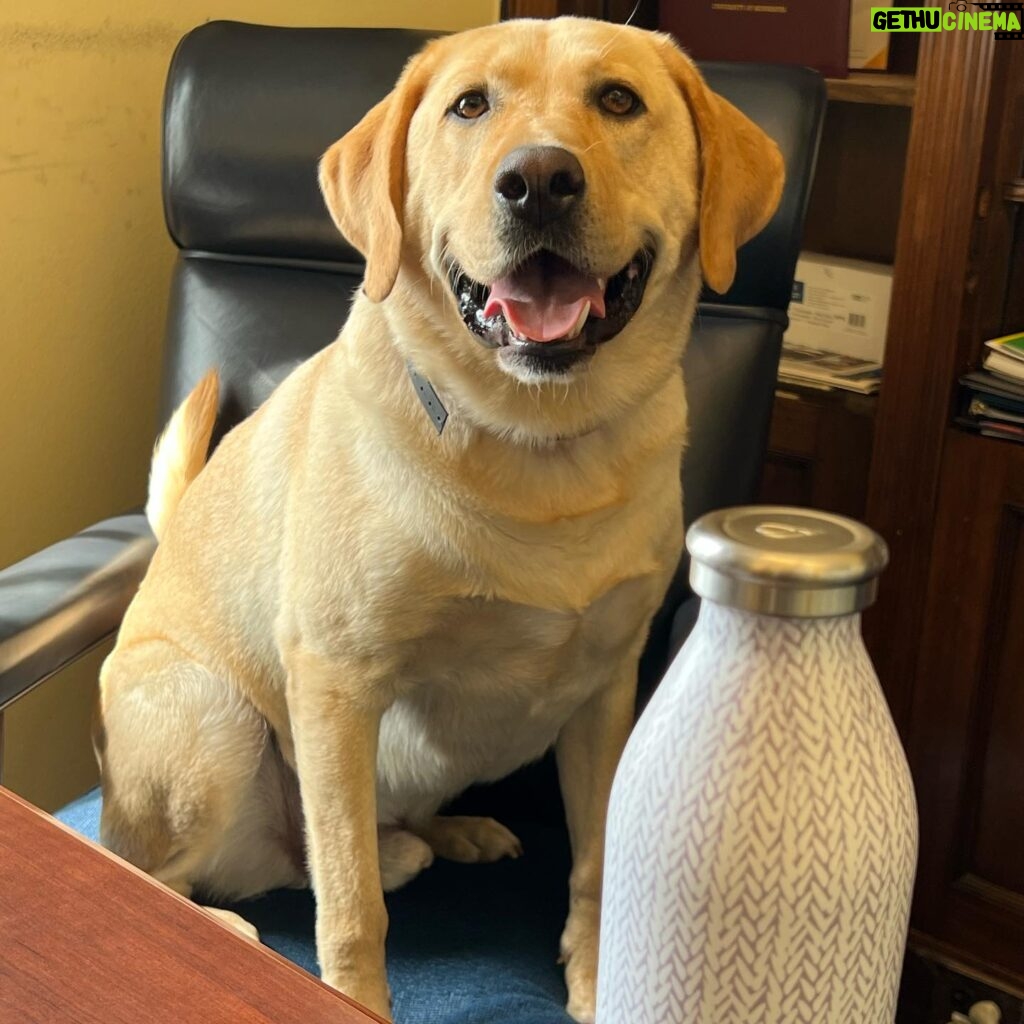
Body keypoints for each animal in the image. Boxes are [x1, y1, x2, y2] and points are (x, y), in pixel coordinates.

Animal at [97, 16, 782, 1024]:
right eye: (470, 105)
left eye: (619, 99)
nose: (539, 179)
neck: (541, 450)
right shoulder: (336, 685)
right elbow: (350, 908)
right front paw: (352, 999)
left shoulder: (607, 691)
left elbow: (595, 866)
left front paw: (594, 978)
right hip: (209, 716)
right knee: (168, 871)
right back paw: (219, 924)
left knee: (332, 851)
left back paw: (438, 837)